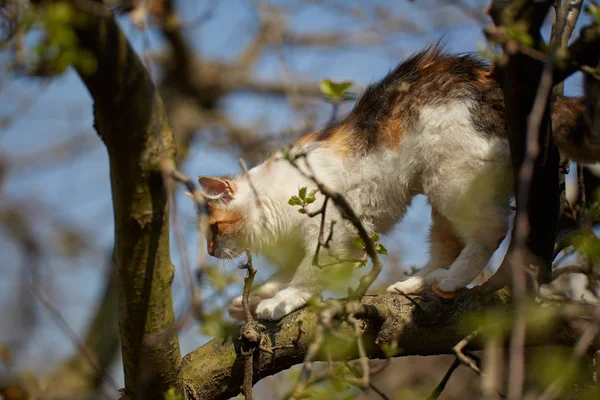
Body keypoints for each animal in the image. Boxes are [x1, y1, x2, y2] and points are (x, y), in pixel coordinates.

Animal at [200, 43, 592, 320]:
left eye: (215, 230)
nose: (210, 251)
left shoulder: (333, 230)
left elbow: (306, 275)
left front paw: (281, 302)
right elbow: (284, 274)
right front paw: (250, 300)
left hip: (453, 182)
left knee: (490, 232)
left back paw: (449, 281)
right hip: (443, 197)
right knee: (448, 247)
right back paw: (417, 284)